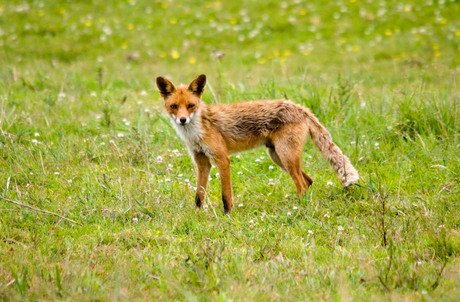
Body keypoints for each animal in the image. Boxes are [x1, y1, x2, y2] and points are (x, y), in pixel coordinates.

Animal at [157, 74, 360, 214]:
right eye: (174, 107)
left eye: (190, 106)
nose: (182, 120)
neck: (196, 131)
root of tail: (299, 107)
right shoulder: (202, 161)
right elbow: (199, 194)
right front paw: (197, 214)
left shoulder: (222, 159)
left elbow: (225, 194)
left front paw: (227, 214)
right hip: (277, 157)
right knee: (308, 181)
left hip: (285, 156)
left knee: (302, 184)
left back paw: (299, 208)